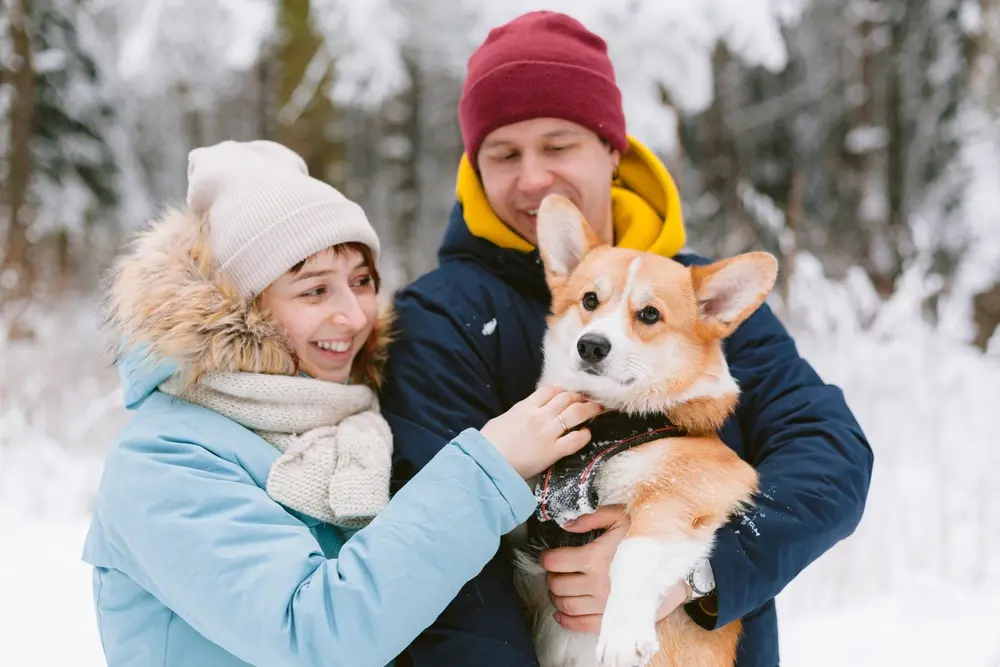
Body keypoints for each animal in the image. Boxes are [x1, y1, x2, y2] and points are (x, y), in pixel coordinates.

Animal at [516, 194, 780, 667]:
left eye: (650, 314)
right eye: (589, 299)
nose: (591, 345)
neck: (608, 421)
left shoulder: (692, 489)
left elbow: (633, 553)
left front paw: (621, 632)